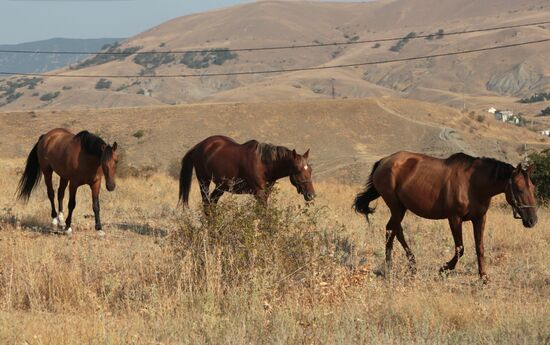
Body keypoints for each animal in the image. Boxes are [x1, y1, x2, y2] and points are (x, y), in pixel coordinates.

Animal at [177, 134, 314, 207]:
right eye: (297, 169)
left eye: (310, 170)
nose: (311, 195)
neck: (263, 163)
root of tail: (199, 146)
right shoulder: (259, 193)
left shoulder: (266, 193)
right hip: (204, 182)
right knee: (206, 204)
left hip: (221, 187)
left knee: (212, 203)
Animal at [354, 150, 540, 280]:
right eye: (519, 189)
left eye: (532, 188)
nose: (532, 220)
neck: (473, 184)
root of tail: (383, 161)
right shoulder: (454, 219)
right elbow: (460, 249)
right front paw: (443, 268)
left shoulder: (479, 218)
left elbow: (479, 248)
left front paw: (484, 277)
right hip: (396, 207)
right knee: (390, 230)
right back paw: (390, 266)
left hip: (401, 208)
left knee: (395, 230)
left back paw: (411, 264)